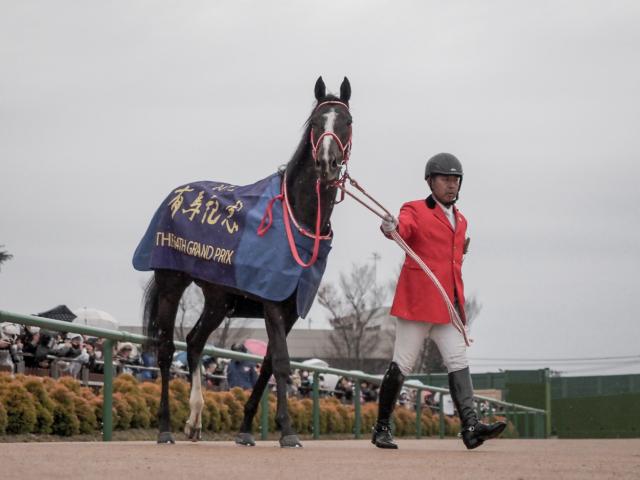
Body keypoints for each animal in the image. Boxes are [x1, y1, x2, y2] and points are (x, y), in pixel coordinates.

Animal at [136, 76, 352, 446]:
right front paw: (288, 432)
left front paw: (247, 429)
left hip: (218, 299)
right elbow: (282, 362)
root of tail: (175, 196)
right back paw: (165, 427)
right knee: (165, 349)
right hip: (171, 283)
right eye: (315, 123)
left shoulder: (290, 306)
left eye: (347, 122)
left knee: (194, 341)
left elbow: (266, 365)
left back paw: (194, 420)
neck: (295, 216)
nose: (327, 163)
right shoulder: (272, 301)